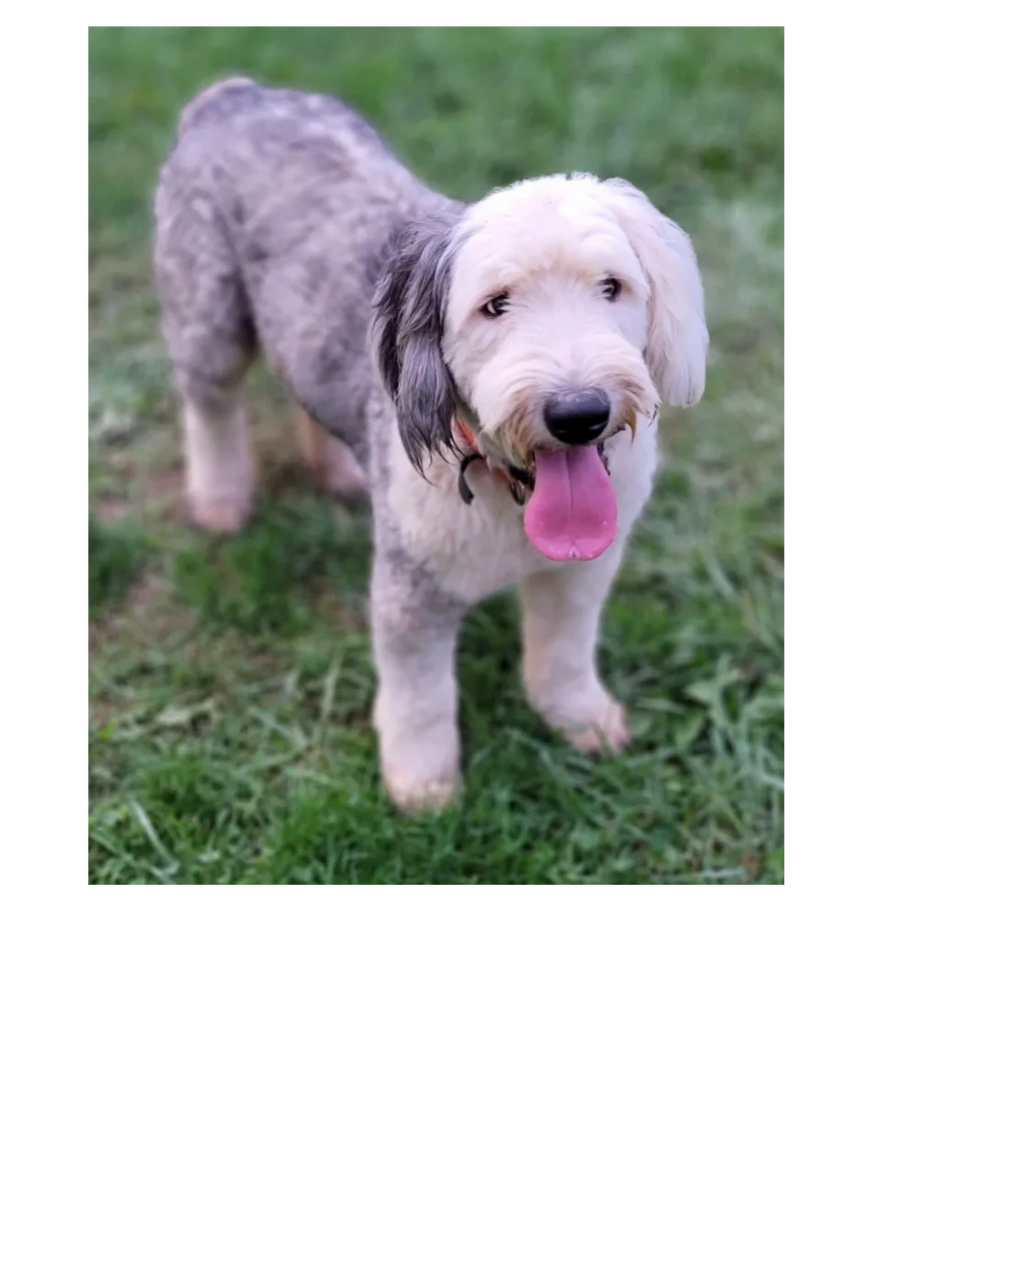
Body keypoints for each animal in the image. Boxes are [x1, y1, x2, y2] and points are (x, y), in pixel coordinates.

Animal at [155, 78, 706, 812]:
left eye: (611, 286)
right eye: (495, 305)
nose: (579, 414)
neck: (512, 493)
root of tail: (237, 92)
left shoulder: (582, 570)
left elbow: (563, 651)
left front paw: (582, 721)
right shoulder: (411, 588)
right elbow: (419, 697)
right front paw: (425, 791)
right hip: (207, 315)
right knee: (209, 403)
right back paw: (220, 503)